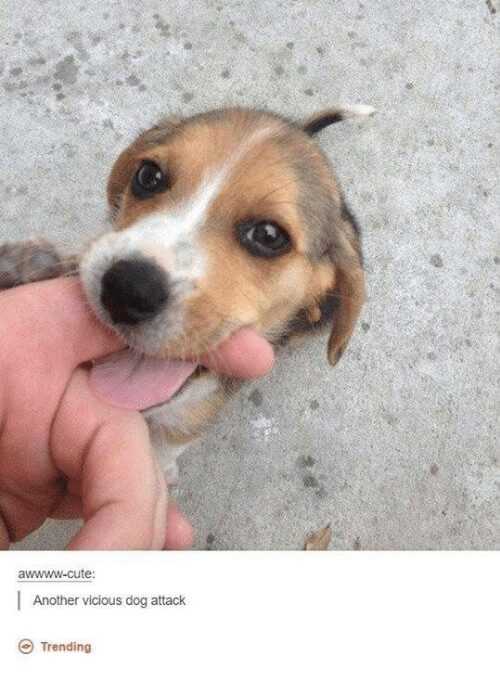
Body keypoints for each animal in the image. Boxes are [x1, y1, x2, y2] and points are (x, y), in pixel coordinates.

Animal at [0, 105, 372, 484]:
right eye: (148, 176)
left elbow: (170, 442)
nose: (127, 289)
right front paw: (28, 266)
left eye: (268, 235)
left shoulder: (194, 413)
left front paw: (161, 469)